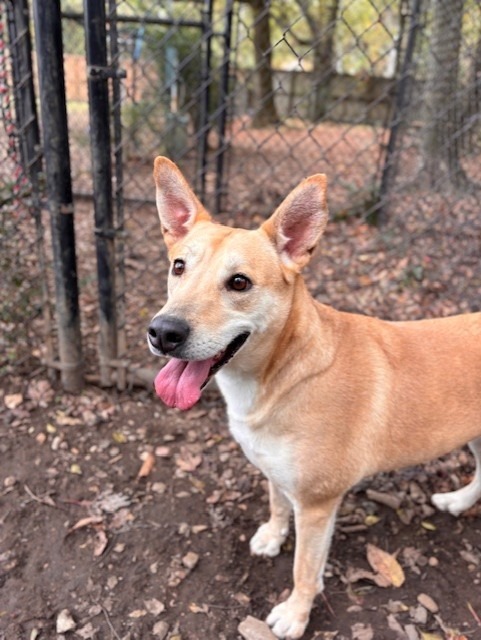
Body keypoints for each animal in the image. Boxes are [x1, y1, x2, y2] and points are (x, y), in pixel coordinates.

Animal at [146, 156, 480, 640]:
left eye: (239, 283)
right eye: (178, 267)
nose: (163, 332)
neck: (281, 375)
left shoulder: (319, 506)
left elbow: (304, 569)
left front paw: (295, 614)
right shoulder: (276, 473)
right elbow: (275, 504)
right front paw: (272, 536)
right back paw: (458, 501)